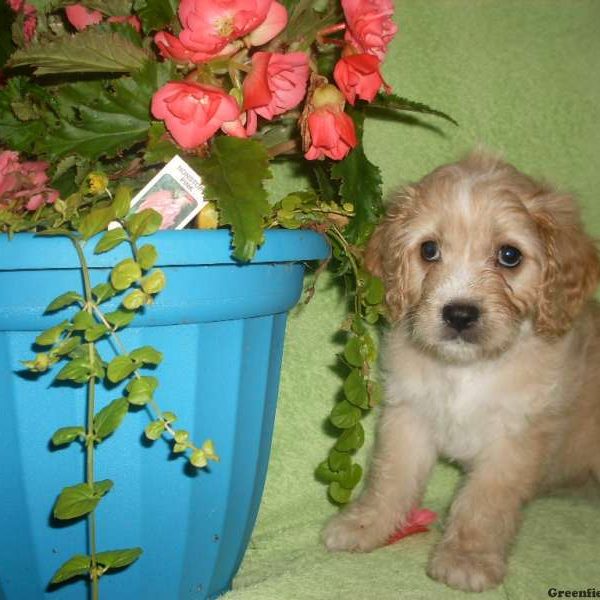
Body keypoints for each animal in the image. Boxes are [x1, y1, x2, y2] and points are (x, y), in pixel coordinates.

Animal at [322, 152, 600, 592]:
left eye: (509, 256)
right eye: (429, 250)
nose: (459, 314)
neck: (467, 369)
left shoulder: (514, 440)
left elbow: (484, 503)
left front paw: (467, 557)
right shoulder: (409, 416)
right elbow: (390, 478)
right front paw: (365, 524)